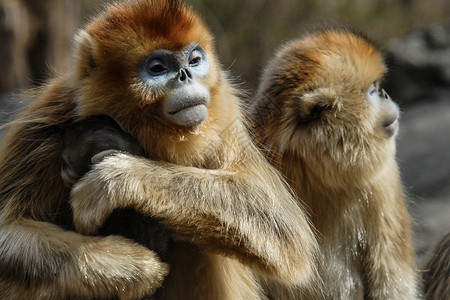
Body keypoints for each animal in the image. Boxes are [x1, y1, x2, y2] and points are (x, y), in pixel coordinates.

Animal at [0, 1, 318, 298]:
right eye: (157, 69)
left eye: (194, 60)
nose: (185, 74)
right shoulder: (48, 122)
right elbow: (8, 232)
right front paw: (132, 267)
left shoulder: (224, 109)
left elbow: (285, 232)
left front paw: (118, 178)